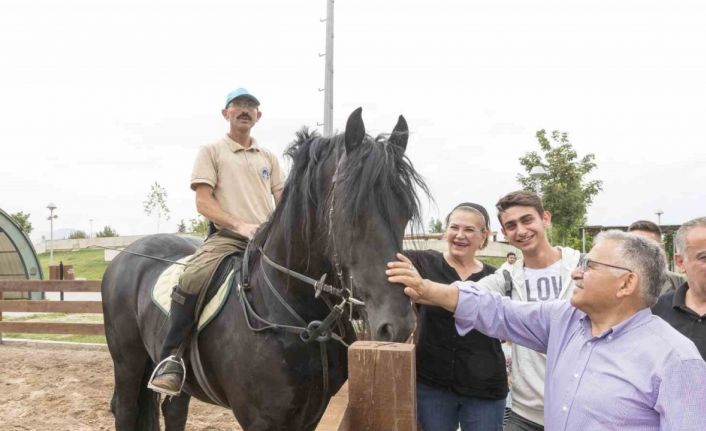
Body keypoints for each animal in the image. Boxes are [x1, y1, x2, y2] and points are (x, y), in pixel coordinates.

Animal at [101, 107, 426, 428]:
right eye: (351, 213)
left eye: (405, 211)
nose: (397, 325)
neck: (299, 315)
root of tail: (125, 255)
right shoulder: (261, 419)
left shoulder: (312, 414)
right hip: (128, 362)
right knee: (125, 408)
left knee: (173, 410)